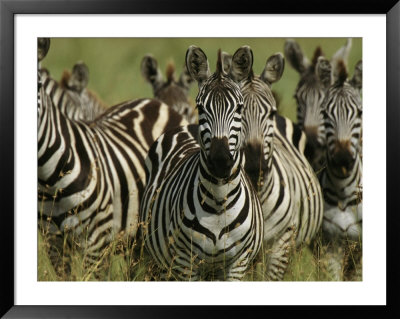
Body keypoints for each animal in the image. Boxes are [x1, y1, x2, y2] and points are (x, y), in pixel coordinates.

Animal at [139, 46, 264, 282]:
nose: (220, 161)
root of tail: (187, 126)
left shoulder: (238, 264)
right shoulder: (185, 263)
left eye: (239, 108)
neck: (218, 202)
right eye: (200, 107)